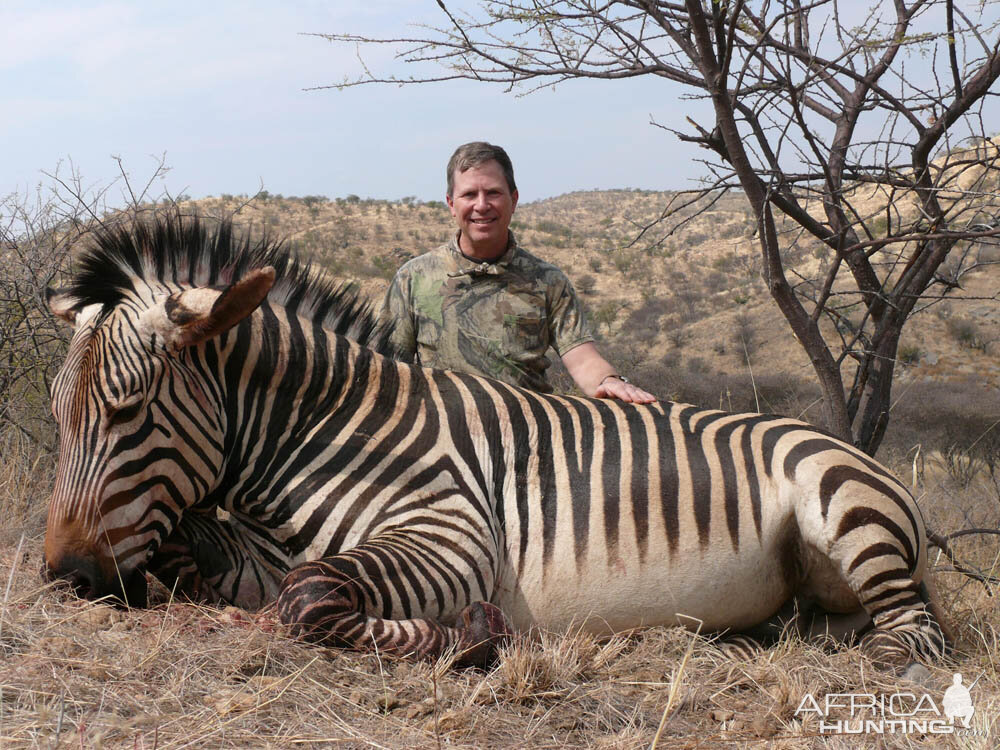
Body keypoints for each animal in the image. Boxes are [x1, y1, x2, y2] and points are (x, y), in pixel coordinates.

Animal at [47, 214, 948, 672]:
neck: (327, 431)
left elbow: (308, 600)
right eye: (60, 417)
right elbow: (199, 554)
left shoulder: (451, 535)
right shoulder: (260, 553)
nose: (67, 578)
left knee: (914, 634)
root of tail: (861, 456)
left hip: (844, 510)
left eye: (129, 412)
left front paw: (473, 635)